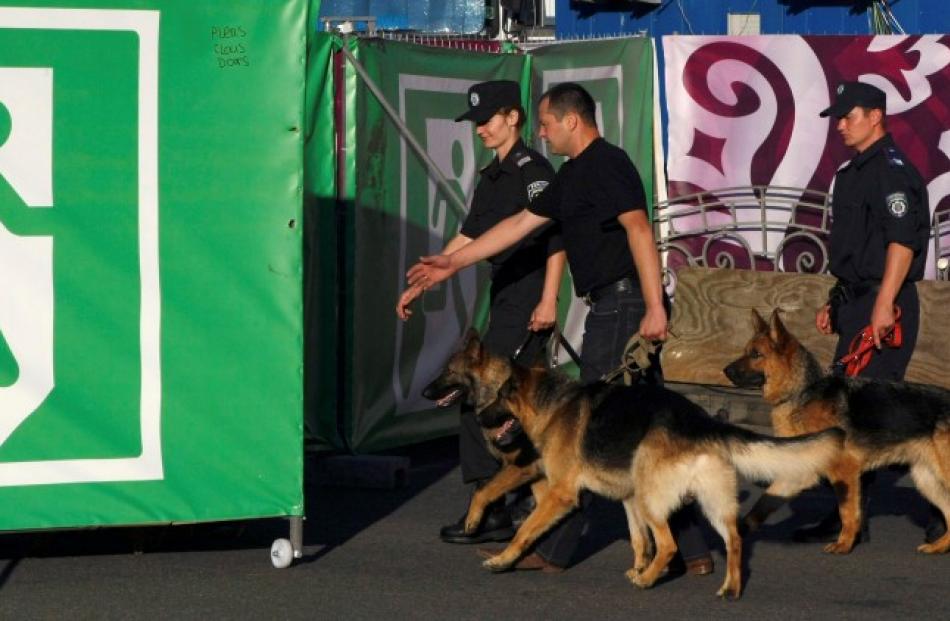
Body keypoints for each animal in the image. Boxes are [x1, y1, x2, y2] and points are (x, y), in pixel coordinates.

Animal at [428, 332, 844, 600]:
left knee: (670, 543)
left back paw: (649, 582)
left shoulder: (563, 495)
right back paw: (730, 588)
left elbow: (526, 529)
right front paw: (639, 566)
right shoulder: (624, 499)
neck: (554, 403)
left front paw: (502, 558)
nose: (480, 418)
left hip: (652, 498)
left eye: (500, 397)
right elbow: (637, 539)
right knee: (734, 539)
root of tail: (700, 422)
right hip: (706, 503)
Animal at [724, 308, 950, 556]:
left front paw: (844, 544)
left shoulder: (845, 471)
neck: (803, 391)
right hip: (926, 479)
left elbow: (848, 513)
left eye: (756, 354)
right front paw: (738, 530)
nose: (725, 370)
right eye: (746, 352)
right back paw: (939, 546)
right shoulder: (800, 471)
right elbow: (763, 502)